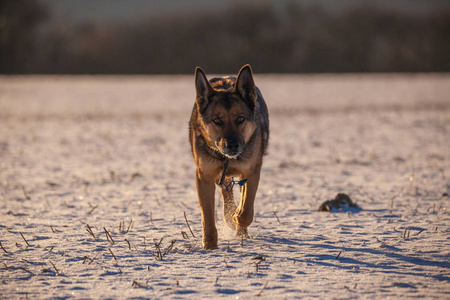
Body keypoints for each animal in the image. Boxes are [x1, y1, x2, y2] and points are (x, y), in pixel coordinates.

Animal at [189, 65, 268, 251]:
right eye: (217, 120)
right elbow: (208, 216)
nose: (232, 145)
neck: (226, 158)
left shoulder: (251, 171)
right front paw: (210, 245)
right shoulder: (204, 176)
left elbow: (246, 210)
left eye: (240, 119)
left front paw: (237, 218)